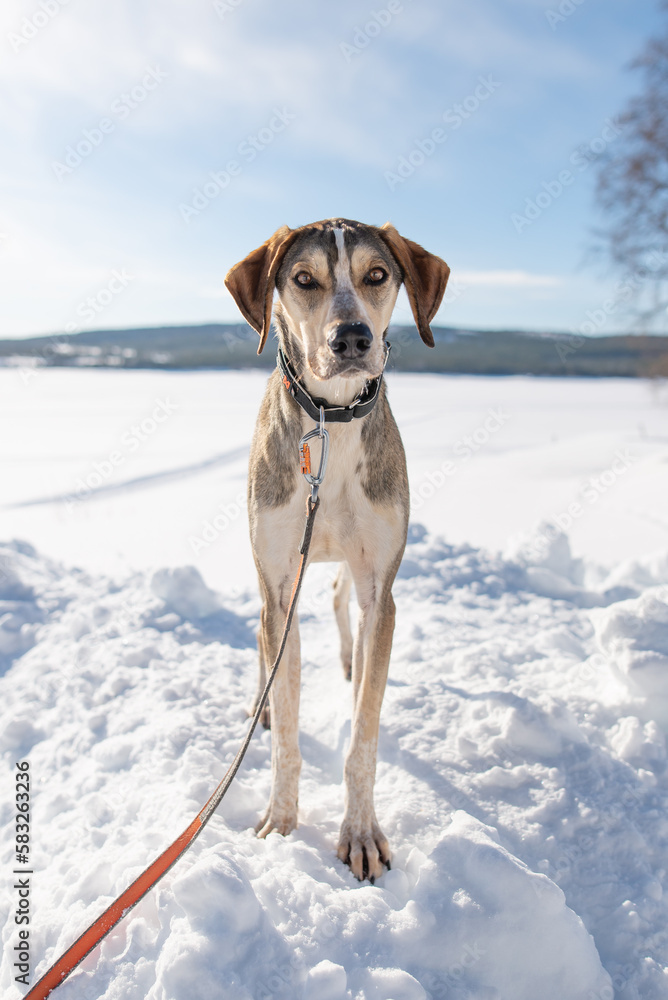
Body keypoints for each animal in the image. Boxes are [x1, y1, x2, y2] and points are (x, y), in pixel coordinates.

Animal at [224, 217, 448, 876]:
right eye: (304, 279)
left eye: (377, 274)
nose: (351, 337)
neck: (331, 423)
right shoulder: (278, 583)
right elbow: (288, 731)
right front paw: (281, 823)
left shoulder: (381, 586)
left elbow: (363, 736)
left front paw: (361, 832)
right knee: (266, 641)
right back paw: (261, 706)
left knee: (339, 596)